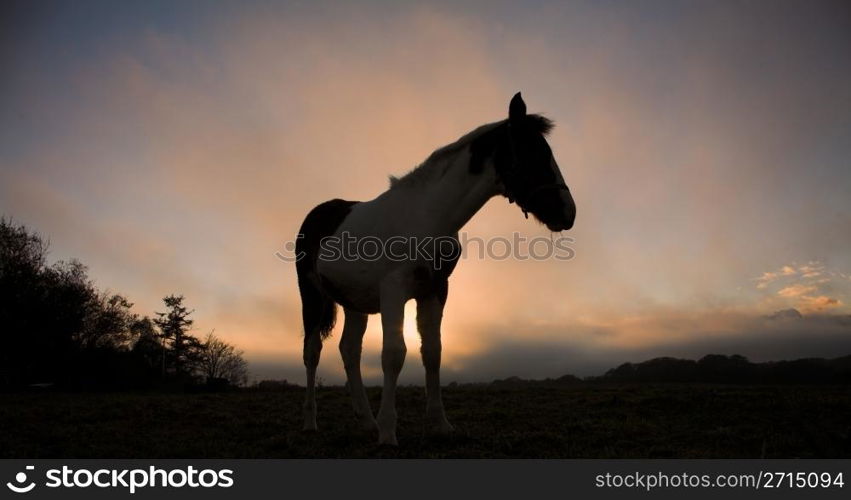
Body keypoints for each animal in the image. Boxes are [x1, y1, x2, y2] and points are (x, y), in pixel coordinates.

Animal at [294, 92, 580, 444]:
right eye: (533, 153)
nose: (567, 213)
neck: (429, 215)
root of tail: (318, 214)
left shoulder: (434, 290)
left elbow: (432, 352)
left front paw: (439, 423)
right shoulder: (394, 289)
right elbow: (393, 354)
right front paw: (389, 432)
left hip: (354, 302)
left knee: (349, 350)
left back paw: (366, 421)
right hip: (312, 294)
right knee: (312, 351)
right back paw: (312, 422)